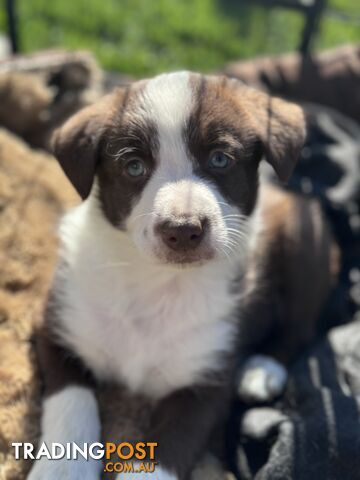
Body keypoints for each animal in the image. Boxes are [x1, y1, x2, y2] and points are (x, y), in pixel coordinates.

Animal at [28, 72, 326, 480]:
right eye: (134, 166)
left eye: (220, 159)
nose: (183, 230)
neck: (157, 281)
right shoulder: (57, 325)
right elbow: (72, 398)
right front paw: (62, 470)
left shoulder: (205, 385)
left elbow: (165, 452)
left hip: (304, 240)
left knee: (302, 326)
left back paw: (260, 370)